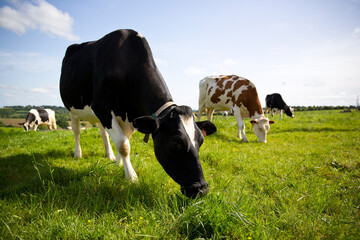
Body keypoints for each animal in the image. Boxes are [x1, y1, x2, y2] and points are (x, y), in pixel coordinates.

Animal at [59, 29, 217, 199]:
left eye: (201, 140)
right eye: (176, 141)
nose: (202, 189)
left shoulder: (129, 118)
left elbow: (123, 140)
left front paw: (118, 163)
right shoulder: (102, 107)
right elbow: (123, 145)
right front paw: (131, 177)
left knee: (103, 134)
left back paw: (109, 155)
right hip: (73, 110)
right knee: (77, 131)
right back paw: (77, 154)